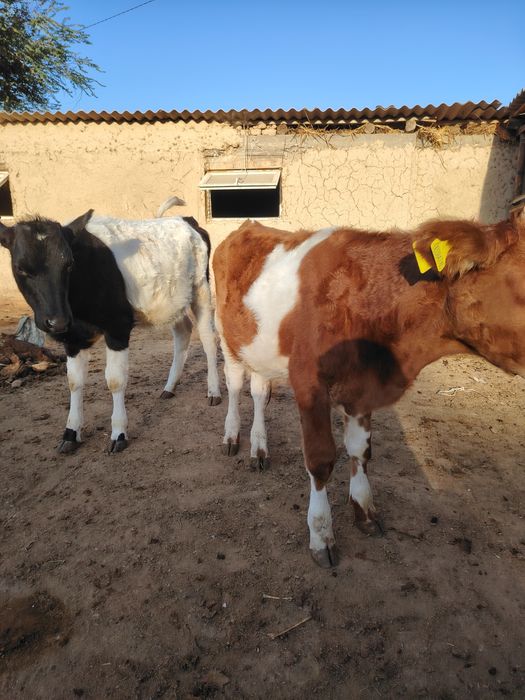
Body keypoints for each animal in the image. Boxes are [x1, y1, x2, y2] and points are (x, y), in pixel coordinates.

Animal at [0, 199, 221, 453]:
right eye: (20, 268)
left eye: (69, 264)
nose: (57, 321)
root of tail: (186, 219)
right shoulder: (72, 338)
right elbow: (74, 382)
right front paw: (70, 432)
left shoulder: (118, 327)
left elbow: (115, 380)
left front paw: (118, 433)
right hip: (171, 300)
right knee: (182, 331)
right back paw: (169, 387)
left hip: (201, 288)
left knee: (208, 339)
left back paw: (213, 391)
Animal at [213, 212, 525, 567]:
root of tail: (249, 224)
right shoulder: (309, 385)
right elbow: (320, 460)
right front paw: (321, 535)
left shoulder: (361, 390)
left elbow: (361, 451)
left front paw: (363, 510)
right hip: (226, 333)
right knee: (236, 385)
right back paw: (232, 437)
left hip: (257, 347)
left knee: (259, 391)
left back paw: (259, 448)